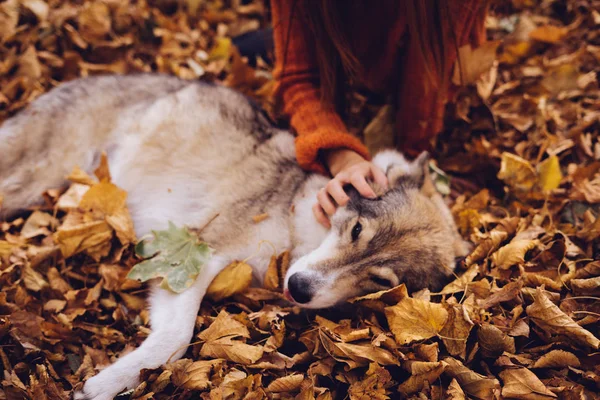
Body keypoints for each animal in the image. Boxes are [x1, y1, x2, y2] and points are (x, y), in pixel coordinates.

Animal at [0, 73, 468, 398]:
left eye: (380, 281)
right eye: (355, 230)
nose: (299, 288)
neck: (293, 233)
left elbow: (174, 339)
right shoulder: (197, 252)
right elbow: (178, 336)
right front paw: (108, 383)